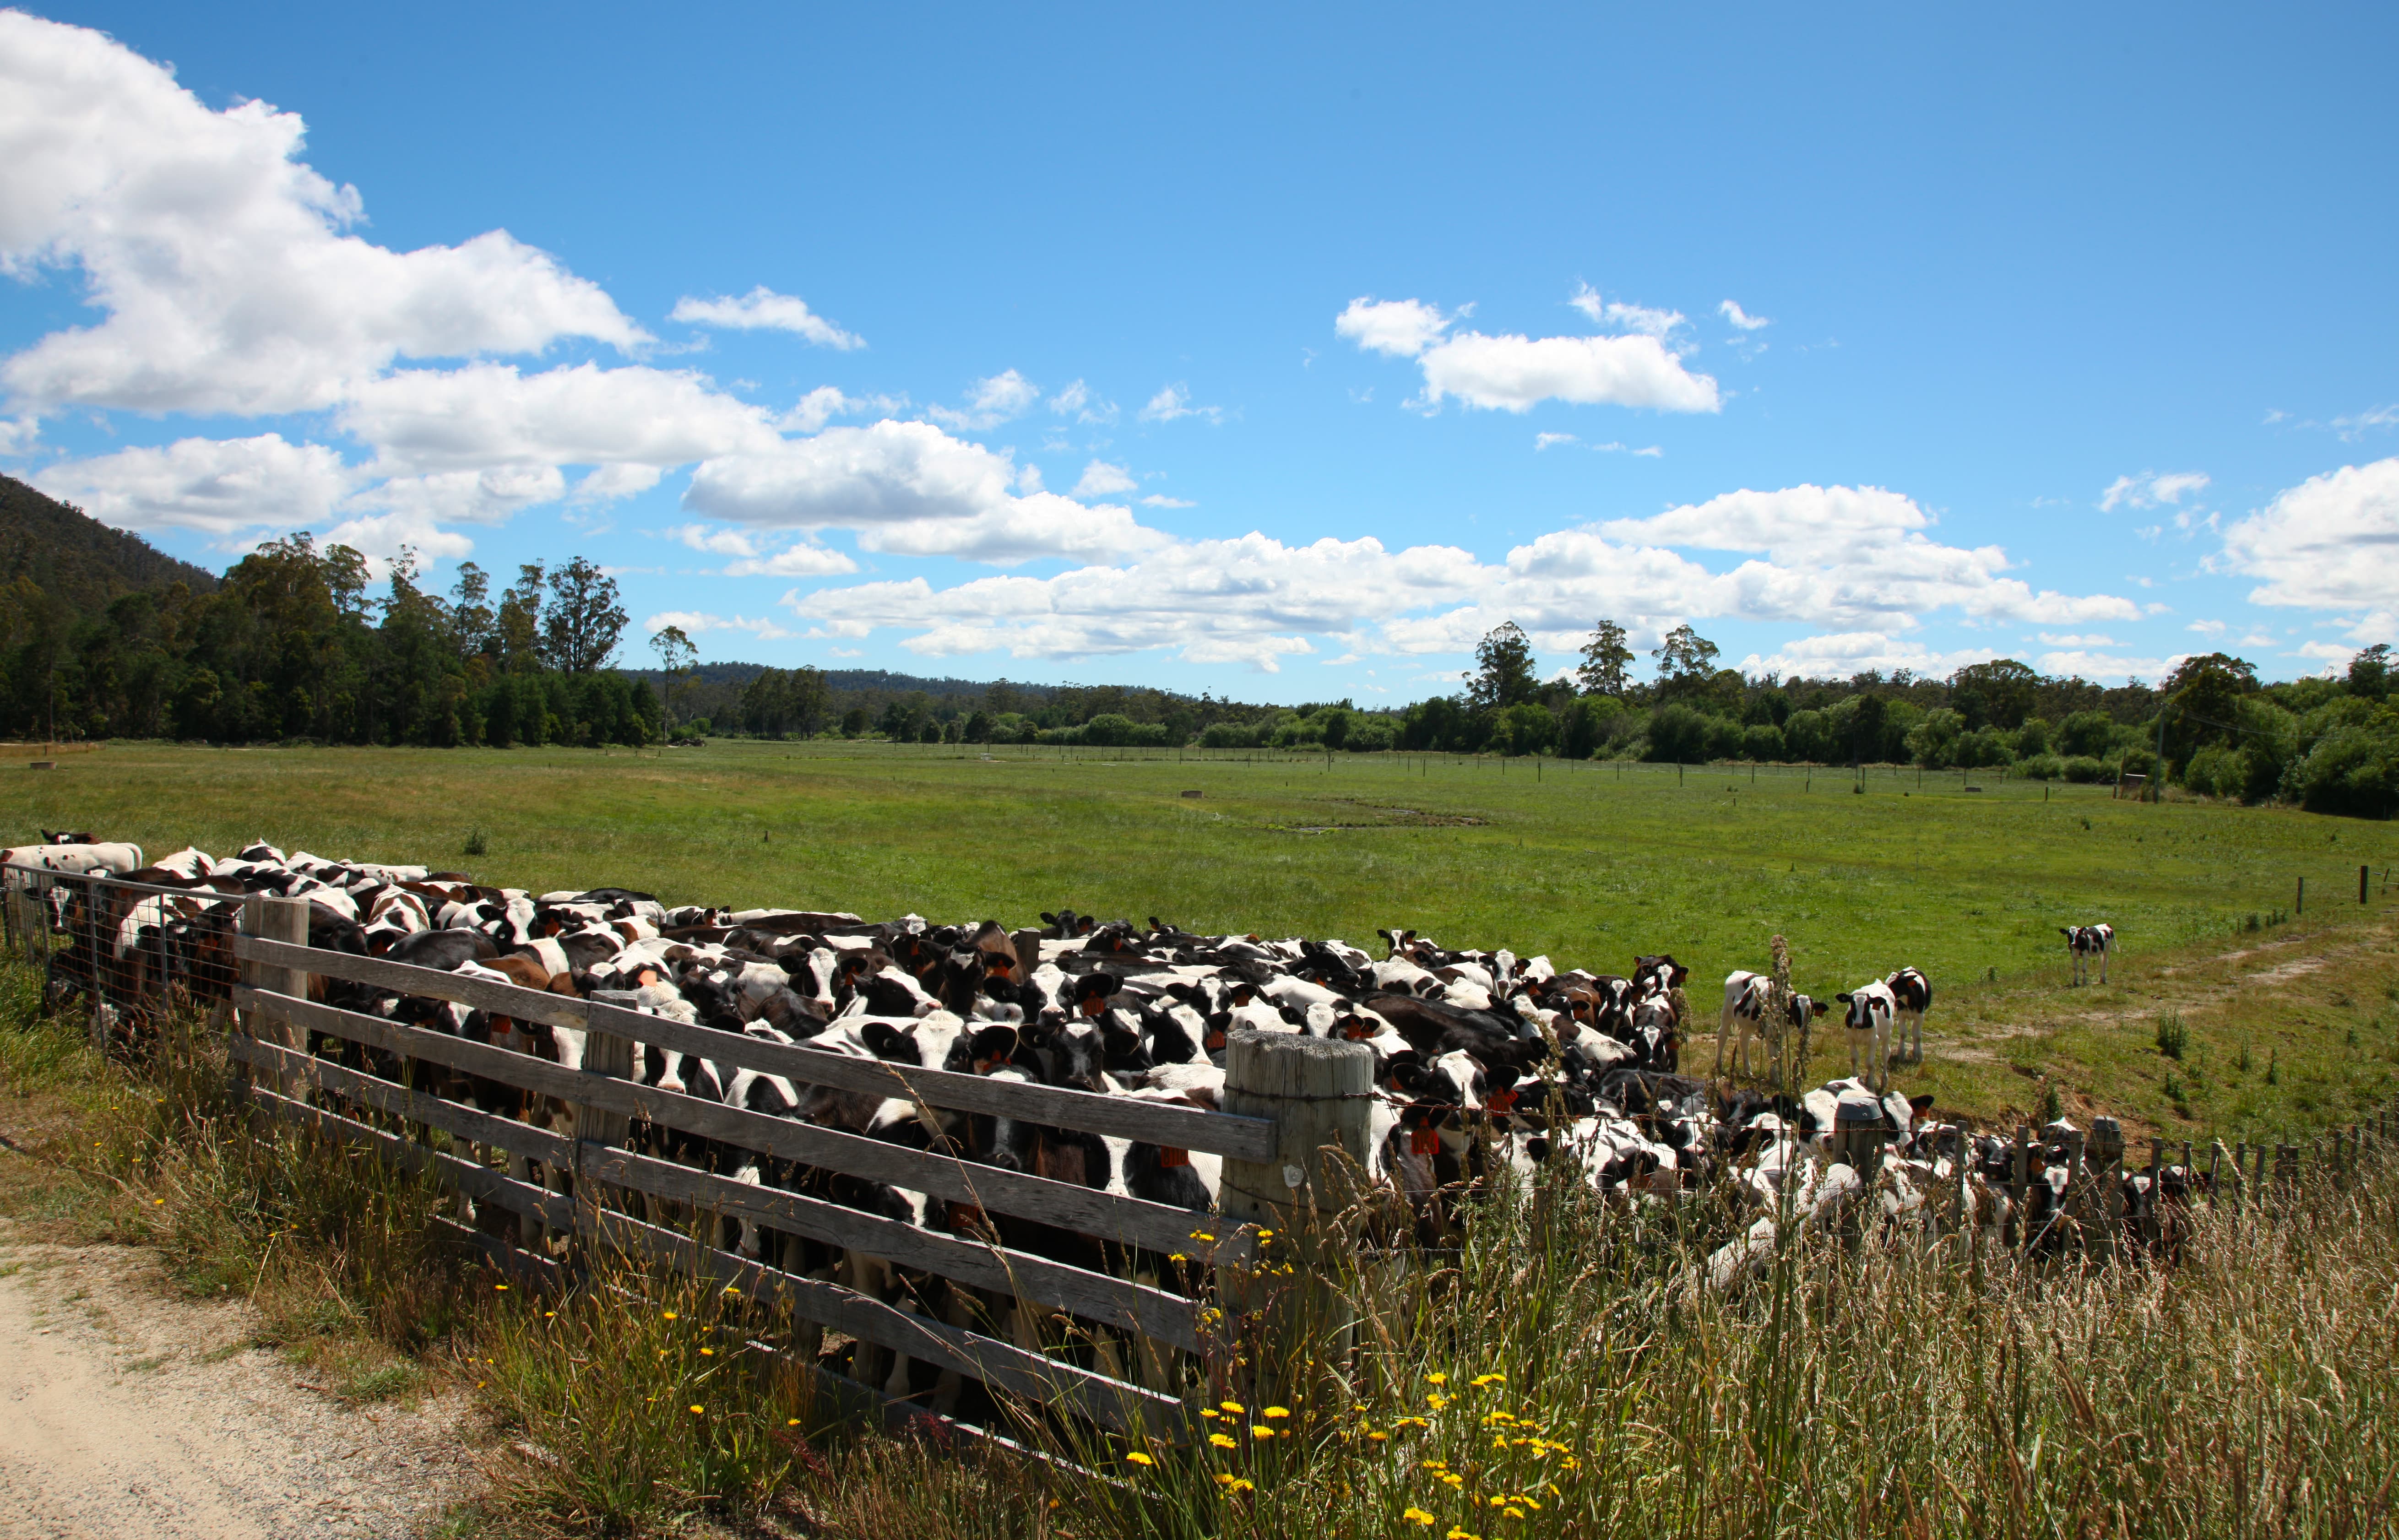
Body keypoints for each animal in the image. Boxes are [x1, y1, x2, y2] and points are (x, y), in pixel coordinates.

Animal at [2053, 921, 2111, 983]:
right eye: (2069, 935)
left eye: (2078, 935)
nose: (2073, 944)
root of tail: (2106, 924)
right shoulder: (2073, 956)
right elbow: (2075, 968)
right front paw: (2075, 981)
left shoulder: (2085, 956)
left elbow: (2084, 969)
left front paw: (2084, 981)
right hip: (2099, 952)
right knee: (2101, 963)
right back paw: (2101, 979)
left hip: (2107, 950)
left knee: (2105, 963)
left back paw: (2104, 979)